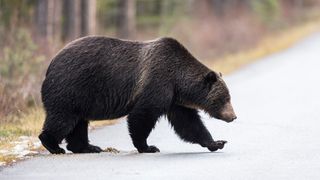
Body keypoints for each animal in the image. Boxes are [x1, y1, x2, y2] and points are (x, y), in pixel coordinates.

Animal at [38, 35, 236, 154]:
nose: (233, 116)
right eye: (224, 98)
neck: (178, 81)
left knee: (78, 123)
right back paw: (54, 145)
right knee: (63, 119)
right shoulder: (157, 83)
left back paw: (88, 147)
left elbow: (188, 123)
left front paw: (216, 142)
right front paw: (148, 146)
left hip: (80, 97)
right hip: (71, 87)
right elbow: (142, 115)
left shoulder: (174, 99)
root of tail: (50, 64)